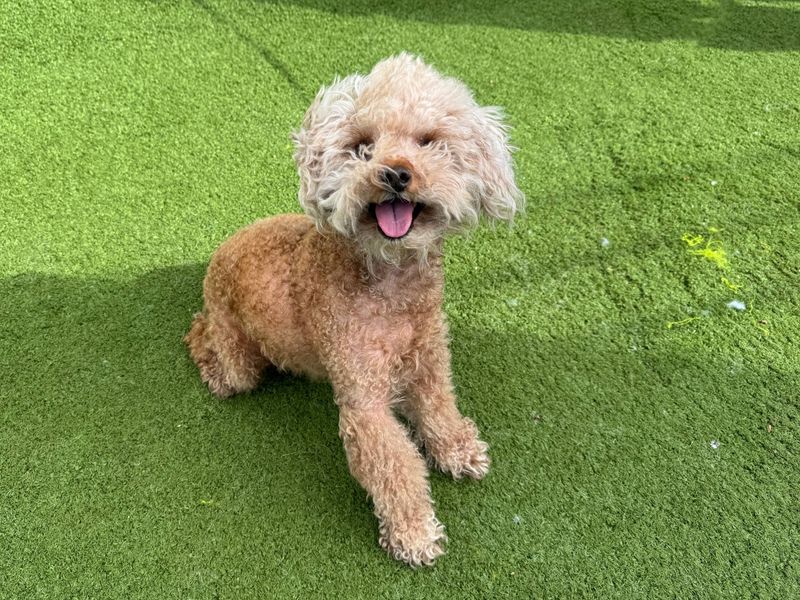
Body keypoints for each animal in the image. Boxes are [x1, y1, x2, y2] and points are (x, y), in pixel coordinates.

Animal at [188, 54, 524, 564]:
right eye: (362, 147)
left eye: (428, 141)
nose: (396, 173)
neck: (391, 285)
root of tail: (219, 253)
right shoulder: (363, 398)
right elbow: (394, 463)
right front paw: (414, 532)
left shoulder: (429, 360)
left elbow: (440, 407)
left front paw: (458, 450)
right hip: (237, 357)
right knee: (207, 344)